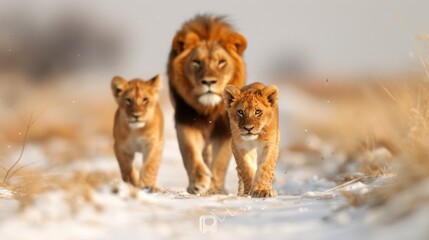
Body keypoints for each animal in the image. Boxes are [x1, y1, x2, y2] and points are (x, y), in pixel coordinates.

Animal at [167, 14, 247, 195]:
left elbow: (220, 161)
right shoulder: (186, 121)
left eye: (222, 62)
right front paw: (198, 183)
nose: (209, 82)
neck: (210, 108)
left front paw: (215, 188)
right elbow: (190, 152)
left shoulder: (226, 128)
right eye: (196, 62)